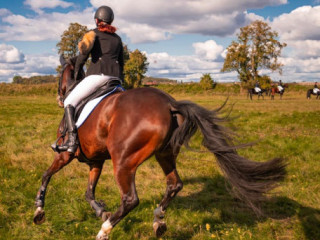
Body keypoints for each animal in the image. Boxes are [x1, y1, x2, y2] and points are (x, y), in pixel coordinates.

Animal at [33, 56, 286, 240]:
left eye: (59, 74)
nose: (59, 97)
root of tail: (169, 104)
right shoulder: (95, 160)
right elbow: (88, 192)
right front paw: (99, 210)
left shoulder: (65, 155)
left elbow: (46, 175)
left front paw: (39, 211)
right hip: (165, 155)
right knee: (174, 184)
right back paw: (158, 221)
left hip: (123, 162)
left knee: (131, 199)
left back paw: (104, 231)